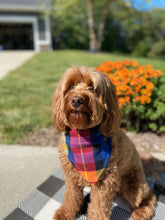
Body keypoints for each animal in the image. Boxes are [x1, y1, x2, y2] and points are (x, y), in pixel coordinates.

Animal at [52, 66, 156, 219]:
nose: (76, 100)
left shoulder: (105, 182)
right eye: (70, 86)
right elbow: (71, 196)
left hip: (133, 186)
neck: (83, 135)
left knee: (149, 195)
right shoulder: (71, 176)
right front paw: (65, 213)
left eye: (92, 87)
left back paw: (141, 211)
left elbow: (98, 208)